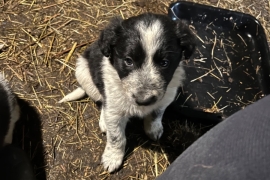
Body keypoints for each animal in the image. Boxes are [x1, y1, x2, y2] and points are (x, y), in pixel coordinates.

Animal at [59, 13, 195, 172]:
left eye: (164, 63)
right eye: (128, 61)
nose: (143, 100)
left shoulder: (165, 98)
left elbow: (156, 114)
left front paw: (153, 129)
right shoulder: (115, 108)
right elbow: (116, 137)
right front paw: (112, 157)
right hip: (84, 74)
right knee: (102, 101)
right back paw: (104, 122)